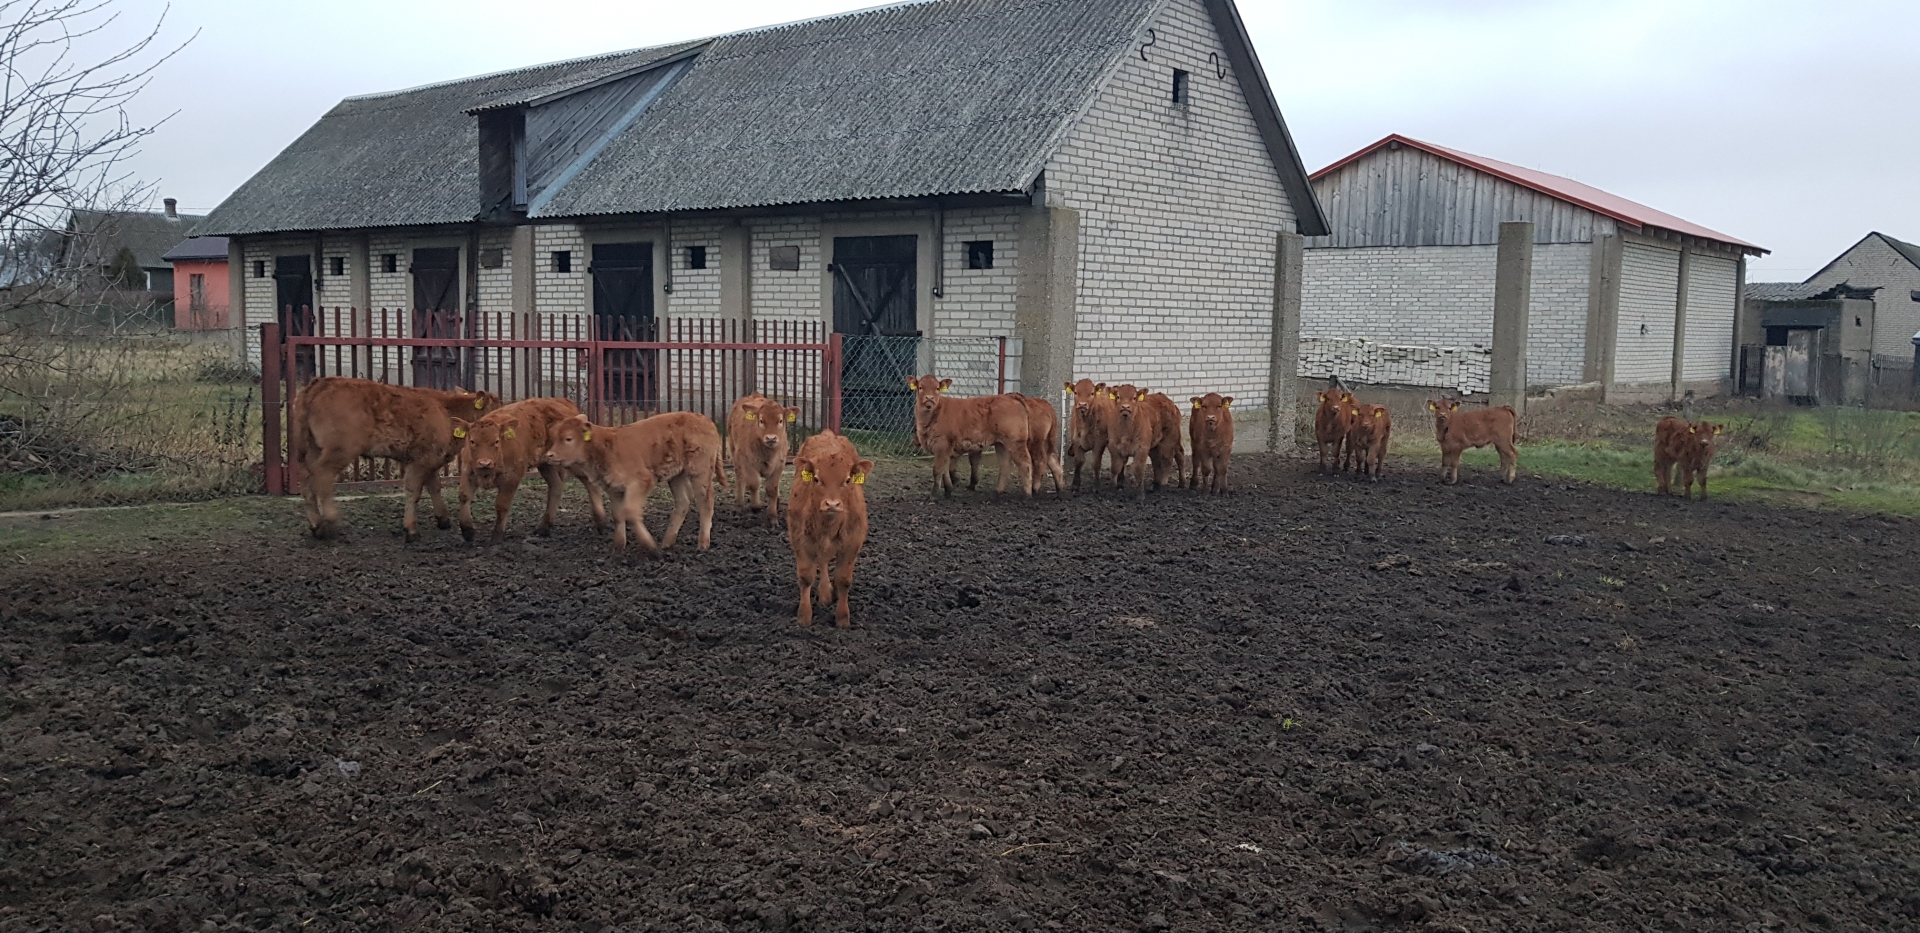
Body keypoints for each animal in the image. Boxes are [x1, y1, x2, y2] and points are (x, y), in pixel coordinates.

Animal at [292, 377, 500, 541]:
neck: (447, 411)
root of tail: (319, 384)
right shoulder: (420, 460)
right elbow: (413, 491)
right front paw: (411, 530)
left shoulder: (431, 460)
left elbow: (434, 487)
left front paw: (443, 520)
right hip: (339, 451)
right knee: (322, 476)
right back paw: (331, 521)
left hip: (311, 449)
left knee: (306, 479)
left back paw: (316, 525)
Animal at [452, 397, 607, 545]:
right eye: (472, 441)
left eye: (496, 441)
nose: (484, 463)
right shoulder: (467, 472)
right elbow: (464, 496)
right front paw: (467, 531)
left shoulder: (512, 477)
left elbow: (502, 505)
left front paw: (497, 537)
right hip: (546, 464)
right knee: (556, 486)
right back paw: (544, 528)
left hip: (573, 462)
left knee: (591, 484)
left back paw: (601, 523)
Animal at [543, 411, 726, 557]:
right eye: (555, 437)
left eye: (568, 438)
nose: (549, 455)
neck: (606, 447)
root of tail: (706, 420)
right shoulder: (614, 488)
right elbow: (618, 515)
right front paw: (618, 547)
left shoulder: (641, 482)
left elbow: (630, 511)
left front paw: (650, 547)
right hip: (677, 476)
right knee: (683, 502)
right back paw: (667, 543)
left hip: (700, 472)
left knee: (706, 501)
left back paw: (702, 544)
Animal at [727, 393, 799, 525]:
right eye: (761, 420)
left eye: (780, 420)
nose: (771, 438)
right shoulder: (745, 461)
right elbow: (754, 483)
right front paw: (756, 505)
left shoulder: (780, 463)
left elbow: (772, 489)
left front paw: (772, 517)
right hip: (734, 451)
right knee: (740, 478)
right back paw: (738, 506)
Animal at [786, 430, 873, 628]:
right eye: (817, 479)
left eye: (847, 480)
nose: (832, 504)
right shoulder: (799, 540)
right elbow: (806, 577)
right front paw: (804, 616)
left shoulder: (852, 543)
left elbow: (843, 579)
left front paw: (842, 618)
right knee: (822, 560)